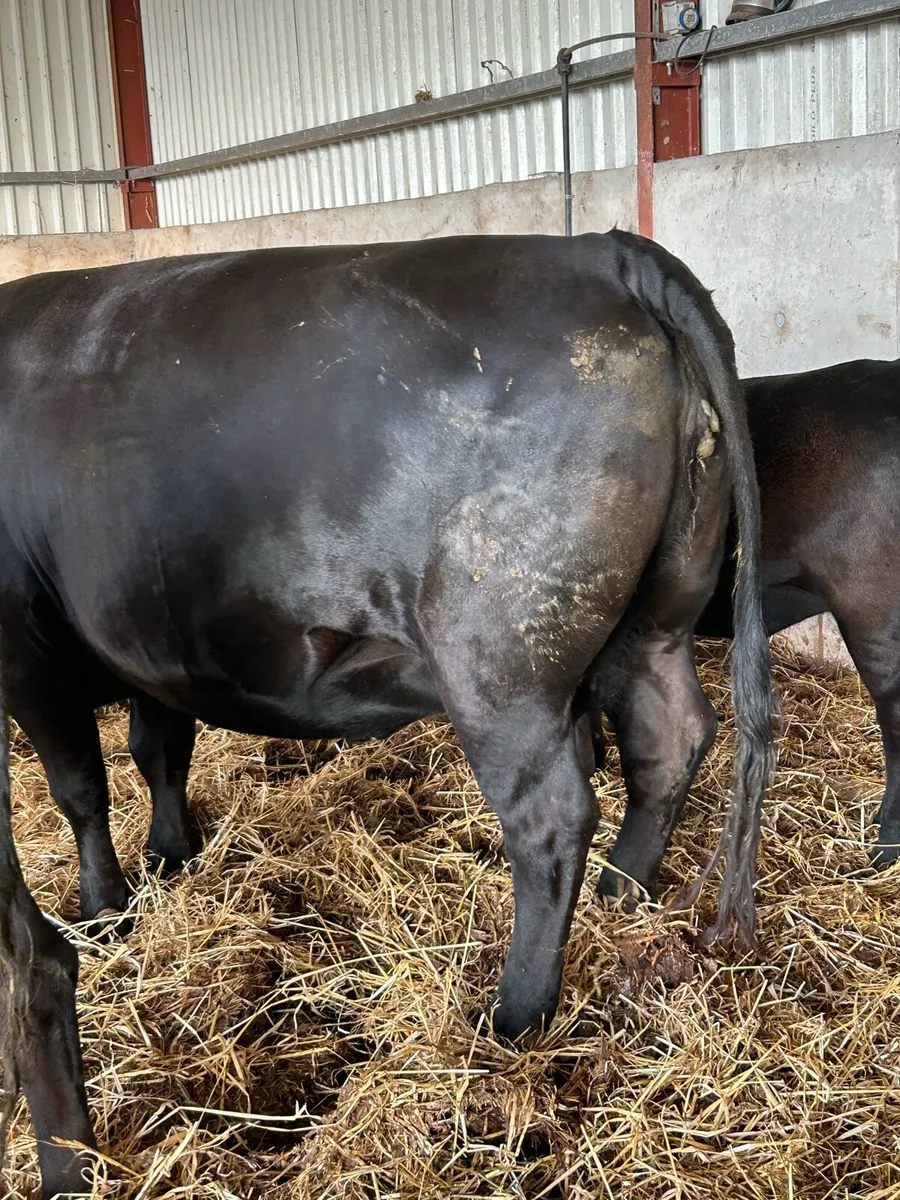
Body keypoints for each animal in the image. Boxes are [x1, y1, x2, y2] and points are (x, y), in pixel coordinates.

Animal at [0, 231, 773, 1197]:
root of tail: (602, 252)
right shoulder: (143, 639)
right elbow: (158, 748)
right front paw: (171, 854)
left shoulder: (26, 653)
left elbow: (80, 787)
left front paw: (104, 906)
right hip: (659, 613)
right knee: (670, 739)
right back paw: (620, 889)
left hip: (498, 656)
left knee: (552, 816)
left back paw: (515, 1014)